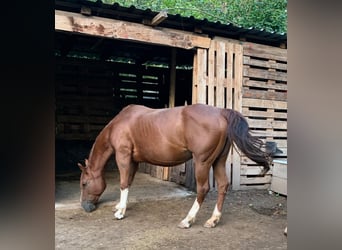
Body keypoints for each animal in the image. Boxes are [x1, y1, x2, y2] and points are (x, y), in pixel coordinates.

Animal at [77, 103, 270, 229]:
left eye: (84, 183)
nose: (85, 207)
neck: (120, 123)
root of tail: (221, 112)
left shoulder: (123, 156)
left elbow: (123, 183)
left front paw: (120, 213)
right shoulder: (133, 161)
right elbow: (129, 182)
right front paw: (119, 206)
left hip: (203, 162)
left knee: (203, 189)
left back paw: (188, 220)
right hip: (218, 162)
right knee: (223, 185)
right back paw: (213, 220)